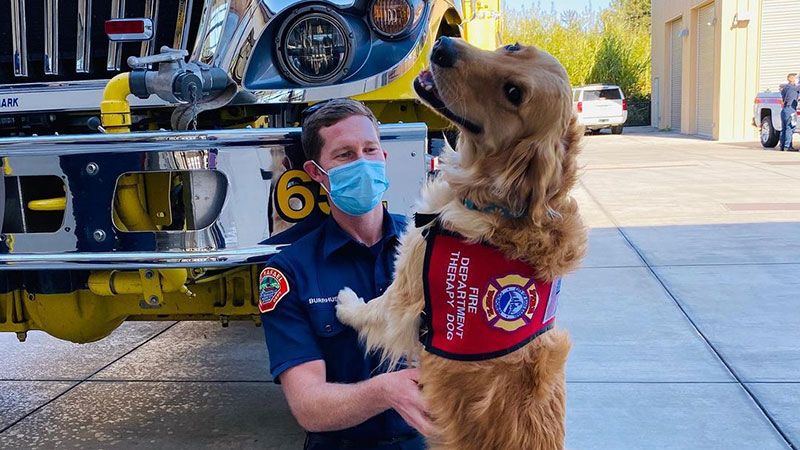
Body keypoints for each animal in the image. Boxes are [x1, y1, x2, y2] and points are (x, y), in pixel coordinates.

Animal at [334, 37, 584, 450]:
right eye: (512, 47)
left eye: (513, 93)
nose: (443, 46)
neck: (492, 200)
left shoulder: (408, 288)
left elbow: (376, 308)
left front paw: (347, 305)